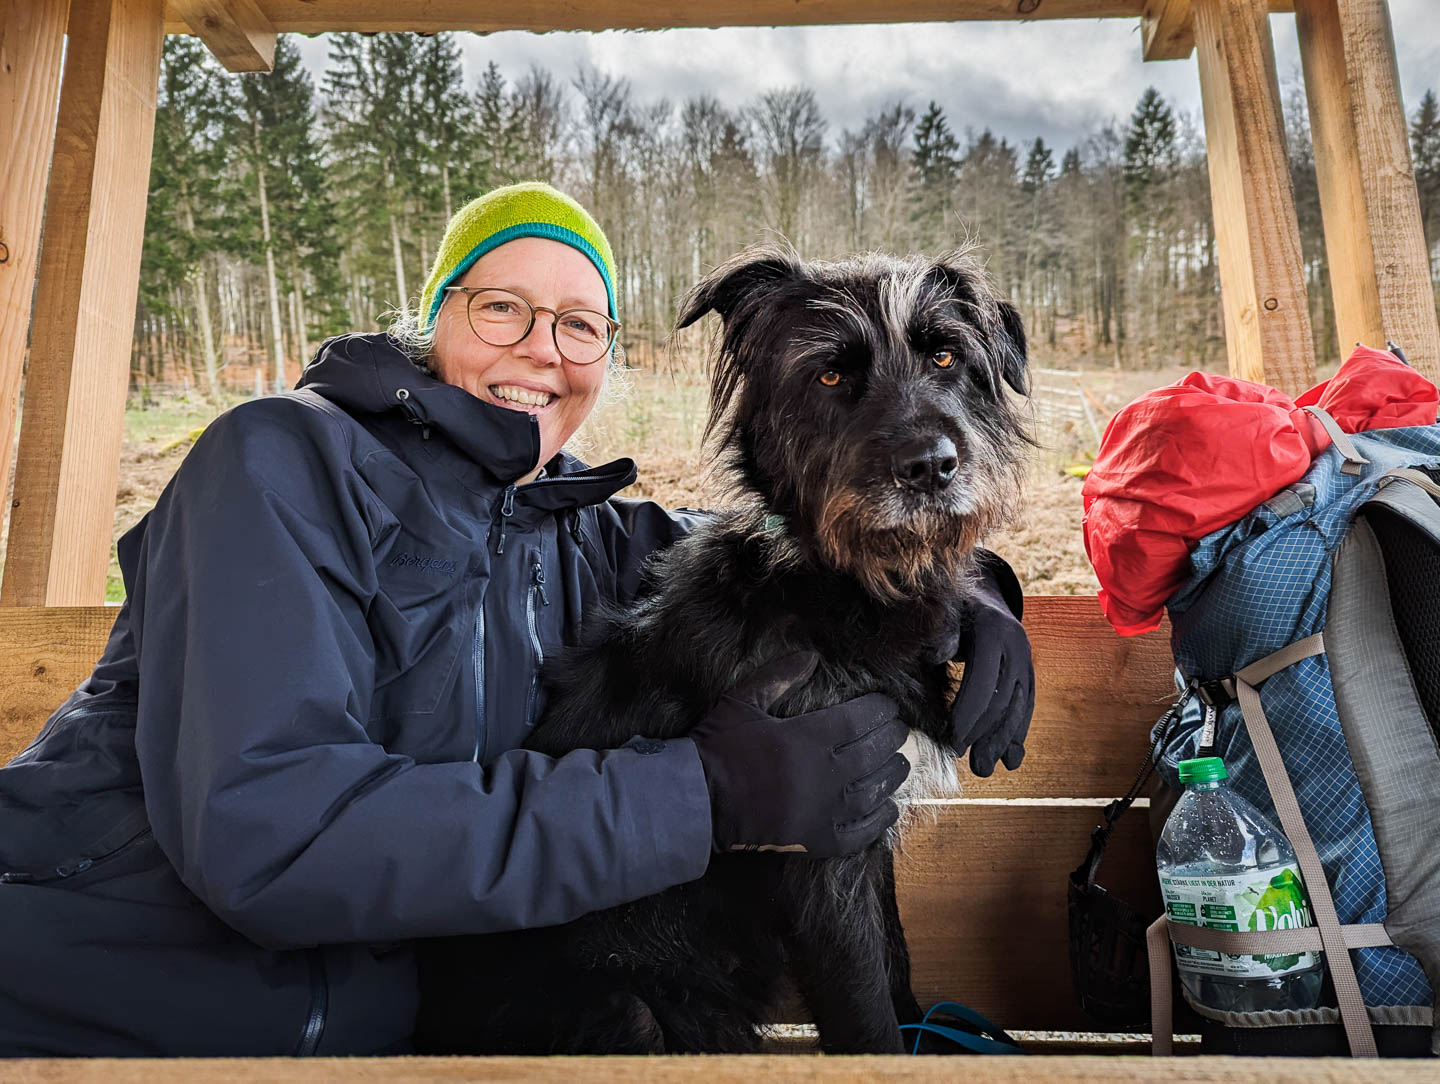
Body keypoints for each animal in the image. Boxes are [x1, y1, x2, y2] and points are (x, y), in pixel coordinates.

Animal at [420, 243, 1031, 1048]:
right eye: (829, 374)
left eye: (945, 356)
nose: (931, 466)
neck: (835, 590)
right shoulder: (825, 845)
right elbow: (866, 1011)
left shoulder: (871, 827)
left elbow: (896, 971)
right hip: (629, 1014)